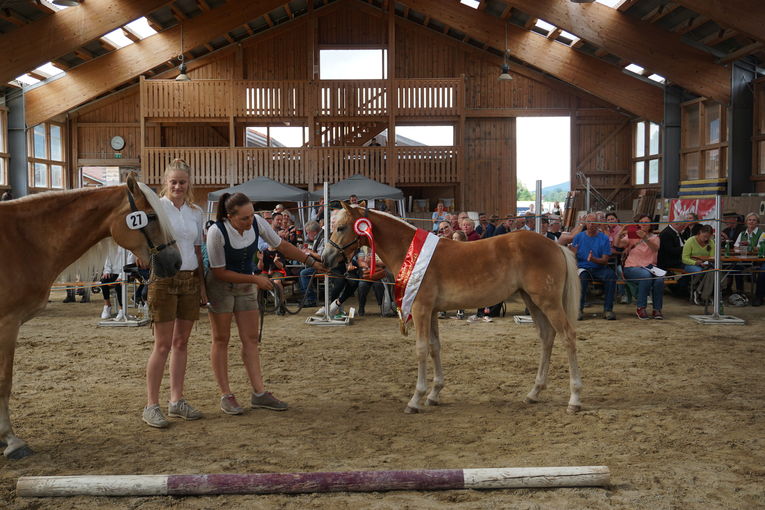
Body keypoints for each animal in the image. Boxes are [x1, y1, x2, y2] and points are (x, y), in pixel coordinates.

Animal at [0, 173, 181, 460]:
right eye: (151, 216)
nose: (176, 261)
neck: (23, 241)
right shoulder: (7, 324)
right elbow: (4, 381)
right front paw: (11, 439)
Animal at [320, 205, 580, 416]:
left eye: (341, 227)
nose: (325, 258)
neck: (411, 253)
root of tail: (555, 245)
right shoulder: (433, 312)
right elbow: (435, 347)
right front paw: (434, 394)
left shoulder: (421, 310)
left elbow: (422, 349)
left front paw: (416, 399)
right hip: (533, 302)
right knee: (547, 337)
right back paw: (534, 393)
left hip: (548, 302)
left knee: (567, 336)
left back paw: (574, 399)